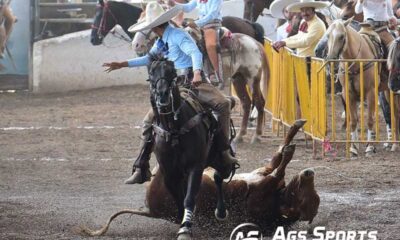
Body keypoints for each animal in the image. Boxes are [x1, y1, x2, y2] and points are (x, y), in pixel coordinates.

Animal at [79, 119, 320, 235]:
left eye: (299, 195)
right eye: (306, 189)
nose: (309, 173)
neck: (278, 200)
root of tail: (151, 212)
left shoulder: (265, 183)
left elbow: (281, 164)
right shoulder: (262, 173)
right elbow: (278, 157)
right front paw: (295, 130)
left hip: (172, 175)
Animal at [148, 57, 228, 239]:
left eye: (171, 71)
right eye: (151, 72)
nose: (162, 95)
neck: (174, 130)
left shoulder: (195, 167)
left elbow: (189, 198)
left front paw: (185, 228)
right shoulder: (169, 172)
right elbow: (179, 198)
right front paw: (182, 220)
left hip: (219, 160)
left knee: (220, 176)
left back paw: (221, 212)